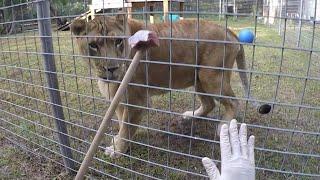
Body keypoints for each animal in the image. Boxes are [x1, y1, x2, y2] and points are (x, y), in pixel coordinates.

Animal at [70, 14, 268, 158]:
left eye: (118, 41)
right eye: (93, 45)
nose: (111, 68)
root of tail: (229, 30)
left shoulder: (137, 101)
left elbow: (126, 127)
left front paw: (117, 150)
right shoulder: (120, 100)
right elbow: (122, 124)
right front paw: (122, 142)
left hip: (211, 77)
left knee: (233, 102)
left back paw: (223, 126)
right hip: (199, 78)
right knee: (209, 104)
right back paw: (191, 115)